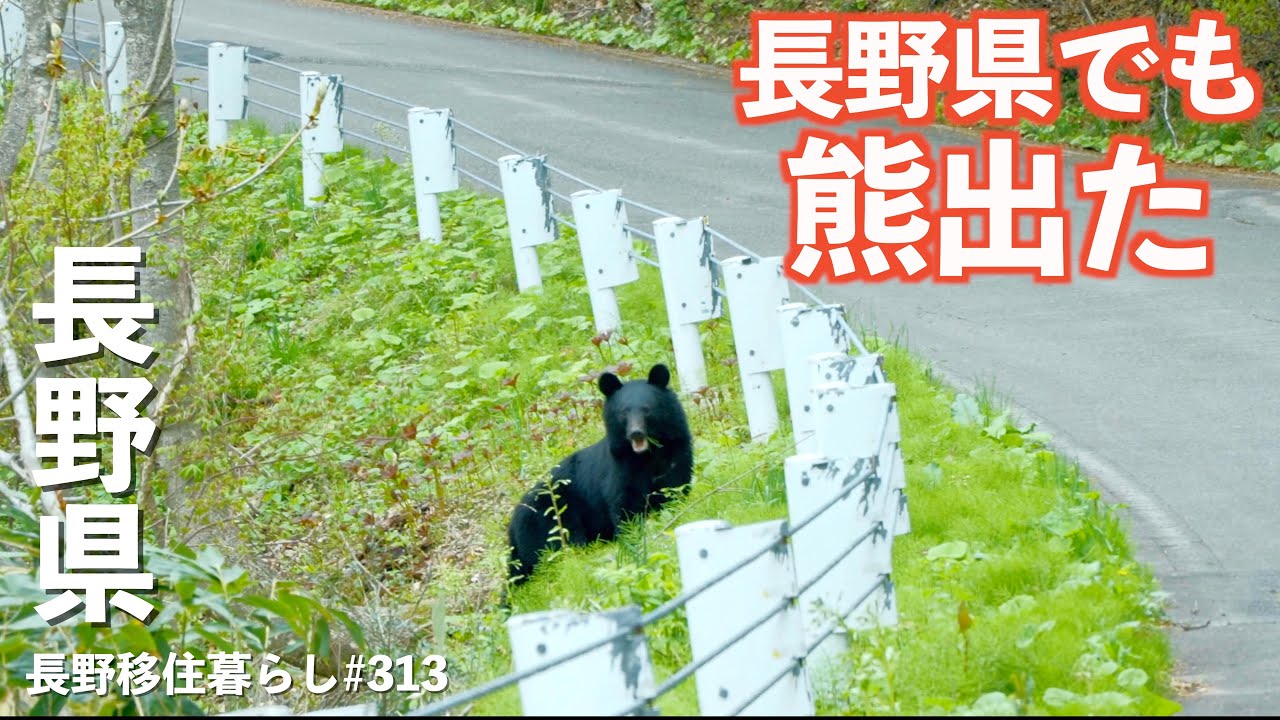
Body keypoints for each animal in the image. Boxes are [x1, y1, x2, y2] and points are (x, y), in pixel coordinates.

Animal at [506, 363, 694, 585]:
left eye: (647, 409)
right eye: (623, 413)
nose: (636, 433)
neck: (648, 455)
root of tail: (511, 526)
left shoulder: (677, 451)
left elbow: (676, 485)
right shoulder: (621, 469)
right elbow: (624, 504)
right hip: (549, 518)